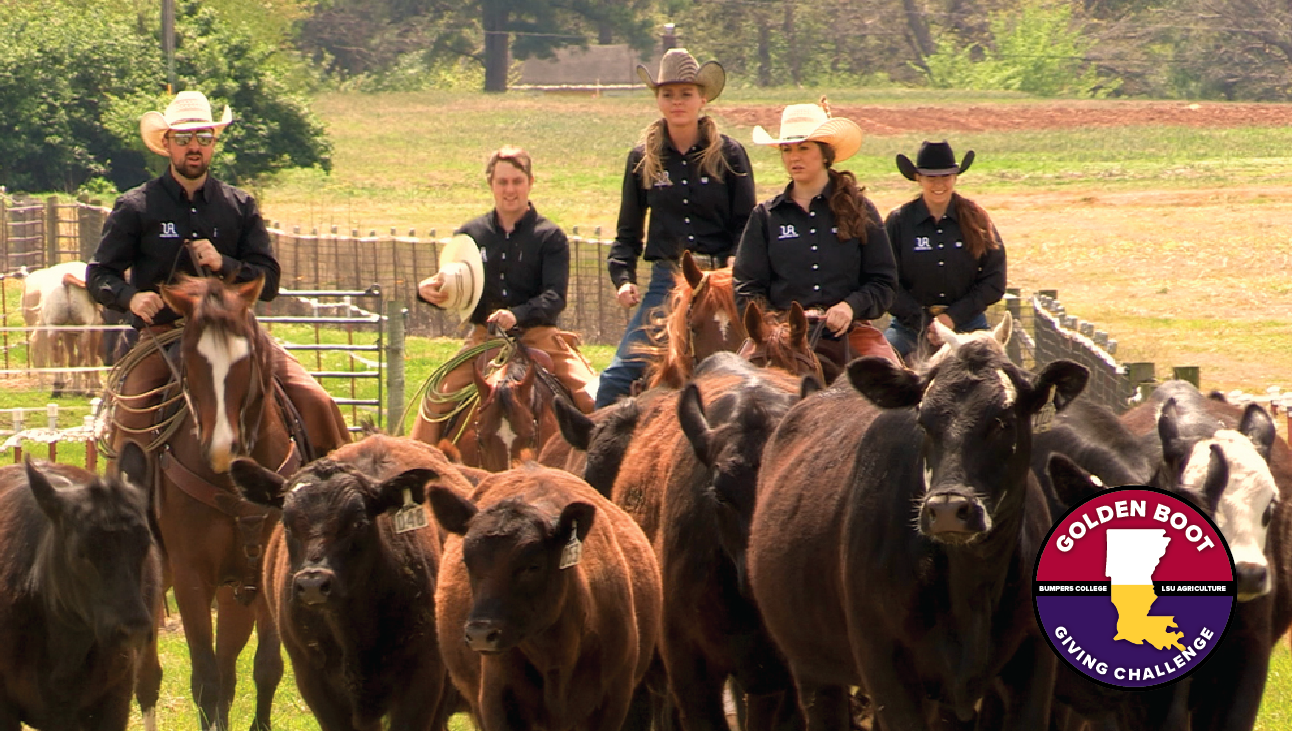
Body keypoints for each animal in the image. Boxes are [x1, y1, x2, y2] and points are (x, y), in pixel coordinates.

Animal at [149, 277, 295, 731]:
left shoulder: (264, 573)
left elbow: (265, 668)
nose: (220, 449)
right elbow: (205, 679)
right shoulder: (190, 577)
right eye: (190, 361)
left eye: (245, 358)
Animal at [749, 338, 1090, 731]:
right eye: (923, 422)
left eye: (1002, 421)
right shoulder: (884, 667)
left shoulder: (1033, 662)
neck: (970, 589)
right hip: (811, 668)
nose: (948, 509)